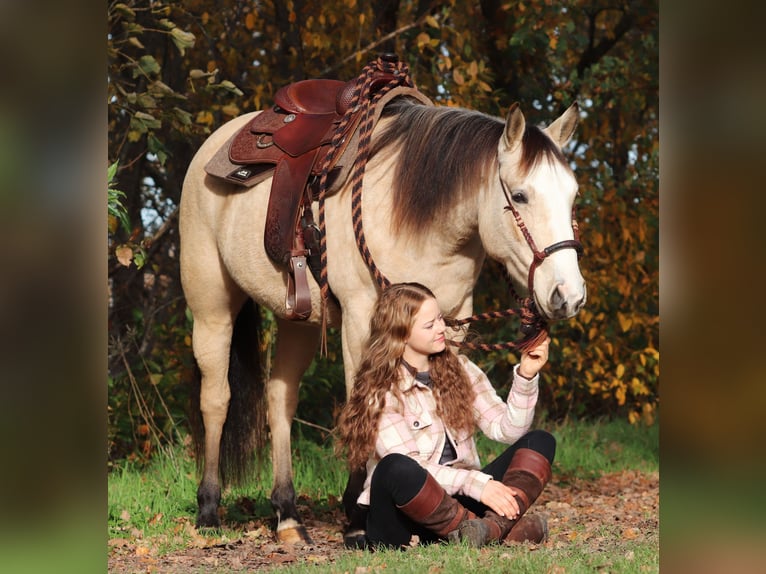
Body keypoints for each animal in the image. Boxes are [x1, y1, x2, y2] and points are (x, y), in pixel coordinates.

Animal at [179, 88, 587, 544]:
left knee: (279, 399)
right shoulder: (361, 320)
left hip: (296, 320)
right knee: (216, 399)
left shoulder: (453, 323)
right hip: (211, 307)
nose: (568, 296)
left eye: (573, 196)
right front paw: (357, 514)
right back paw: (209, 509)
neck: (416, 221)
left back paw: (288, 515)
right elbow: (365, 406)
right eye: (519, 196)